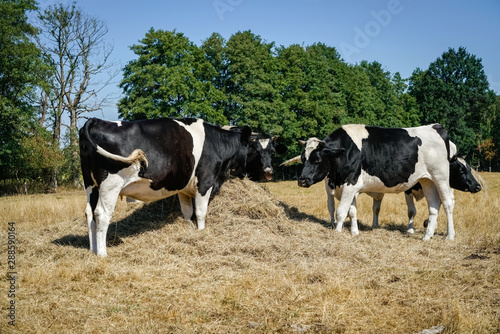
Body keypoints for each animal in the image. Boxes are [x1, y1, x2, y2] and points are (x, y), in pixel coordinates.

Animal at [80, 118, 252, 258]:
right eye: (254, 145)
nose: (248, 174)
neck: (217, 143)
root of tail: (96, 120)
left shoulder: (183, 188)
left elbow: (187, 211)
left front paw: (188, 228)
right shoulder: (205, 181)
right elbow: (201, 212)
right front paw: (201, 232)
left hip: (91, 185)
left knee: (89, 213)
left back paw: (93, 250)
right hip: (110, 184)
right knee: (102, 214)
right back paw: (102, 253)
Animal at [296, 124, 458, 241]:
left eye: (317, 159)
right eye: (303, 158)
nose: (302, 180)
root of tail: (435, 126)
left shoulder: (351, 183)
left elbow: (341, 212)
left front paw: (337, 233)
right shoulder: (351, 187)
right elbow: (352, 211)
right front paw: (354, 232)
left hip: (441, 177)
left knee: (447, 203)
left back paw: (450, 236)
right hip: (427, 180)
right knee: (434, 205)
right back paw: (427, 236)